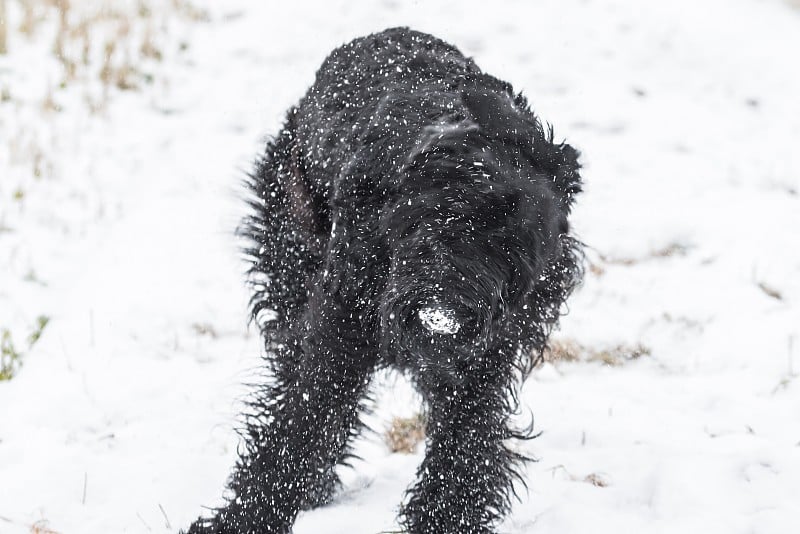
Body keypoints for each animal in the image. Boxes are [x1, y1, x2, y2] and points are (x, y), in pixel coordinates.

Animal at [191, 28, 584, 534]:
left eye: (514, 253)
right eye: (447, 222)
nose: (449, 307)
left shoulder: (482, 360)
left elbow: (467, 445)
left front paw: (444, 520)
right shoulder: (340, 330)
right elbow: (305, 419)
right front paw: (247, 516)